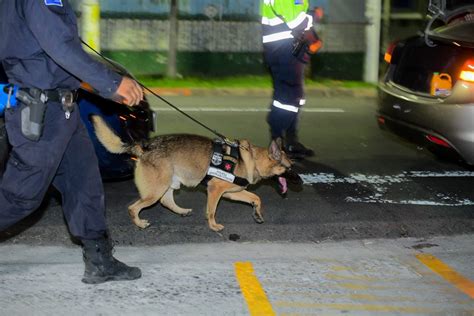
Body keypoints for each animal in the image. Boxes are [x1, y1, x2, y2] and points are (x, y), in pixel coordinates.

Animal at [90, 116, 294, 232]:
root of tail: (144, 148)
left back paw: (181, 211)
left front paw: (257, 213)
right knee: (133, 208)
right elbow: (211, 211)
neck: (251, 158)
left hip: (169, 184)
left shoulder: (231, 193)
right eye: (289, 168)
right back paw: (140, 224)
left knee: (166, 201)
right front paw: (213, 226)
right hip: (155, 190)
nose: (297, 181)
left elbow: (256, 197)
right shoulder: (215, 190)